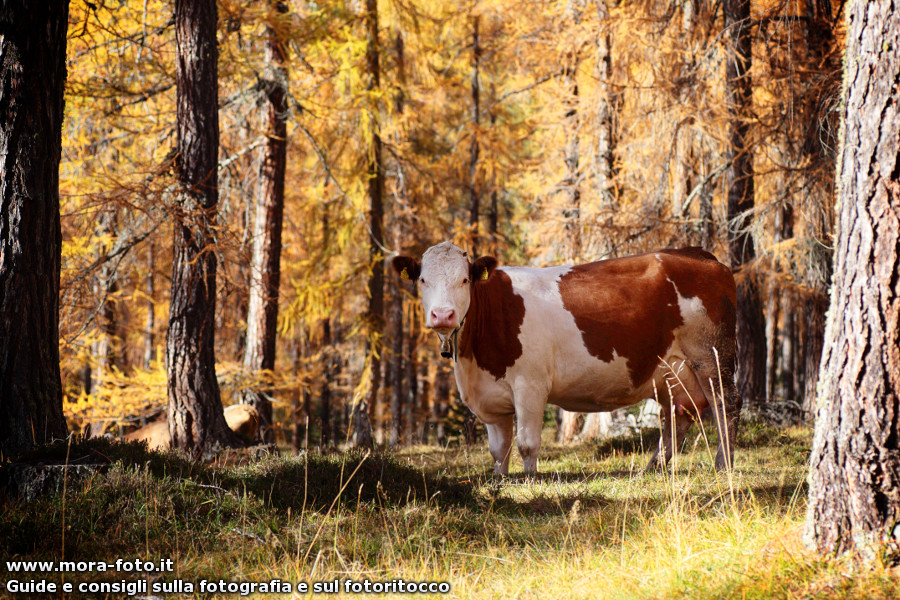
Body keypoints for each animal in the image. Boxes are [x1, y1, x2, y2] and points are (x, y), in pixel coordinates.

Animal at [392, 242, 740, 475]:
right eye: (422, 280)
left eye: (464, 280)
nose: (443, 315)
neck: (473, 361)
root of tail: (699, 254)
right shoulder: (490, 395)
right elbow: (498, 449)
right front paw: (499, 481)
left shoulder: (530, 385)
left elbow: (526, 442)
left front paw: (529, 480)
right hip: (671, 370)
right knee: (678, 415)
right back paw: (652, 468)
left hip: (712, 357)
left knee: (725, 406)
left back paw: (723, 464)